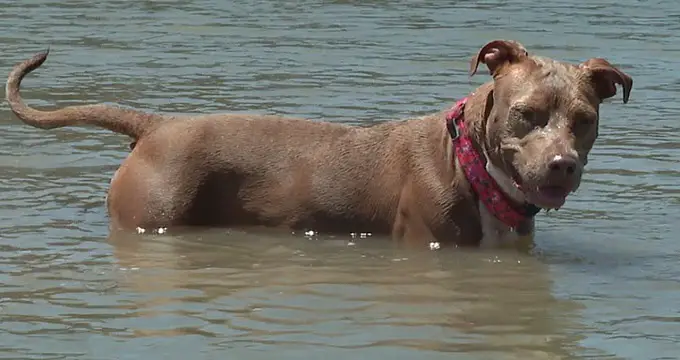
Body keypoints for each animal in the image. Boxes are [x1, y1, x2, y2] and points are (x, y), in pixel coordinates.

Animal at [6, 39, 632, 248]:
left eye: (584, 120)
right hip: (152, 216)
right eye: (526, 115)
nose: (562, 164)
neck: (473, 164)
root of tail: (156, 125)